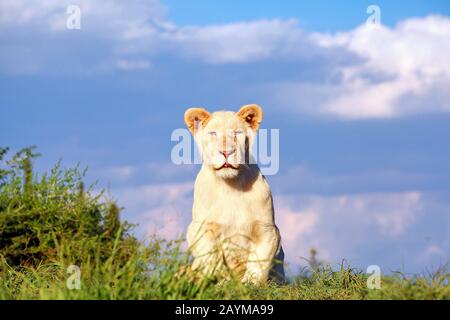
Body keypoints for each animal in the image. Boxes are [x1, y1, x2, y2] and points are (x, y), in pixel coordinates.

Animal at [184, 104, 284, 284]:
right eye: (213, 133)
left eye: (237, 133)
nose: (226, 152)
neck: (230, 186)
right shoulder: (200, 229)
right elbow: (211, 261)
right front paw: (218, 284)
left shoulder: (267, 230)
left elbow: (259, 263)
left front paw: (250, 284)